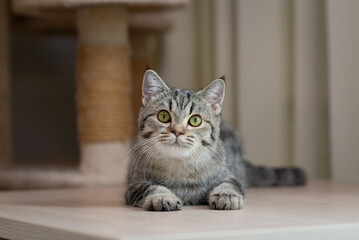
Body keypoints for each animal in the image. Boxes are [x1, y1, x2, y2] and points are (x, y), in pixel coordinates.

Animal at [125, 69, 306, 210]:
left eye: (195, 120)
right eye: (163, 116)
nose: (177, 131)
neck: (180, 166)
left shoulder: (228, 174)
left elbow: (230, 183)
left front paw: (227, 195)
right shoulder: (135, 184)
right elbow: (151, 187)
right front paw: (162, 197)